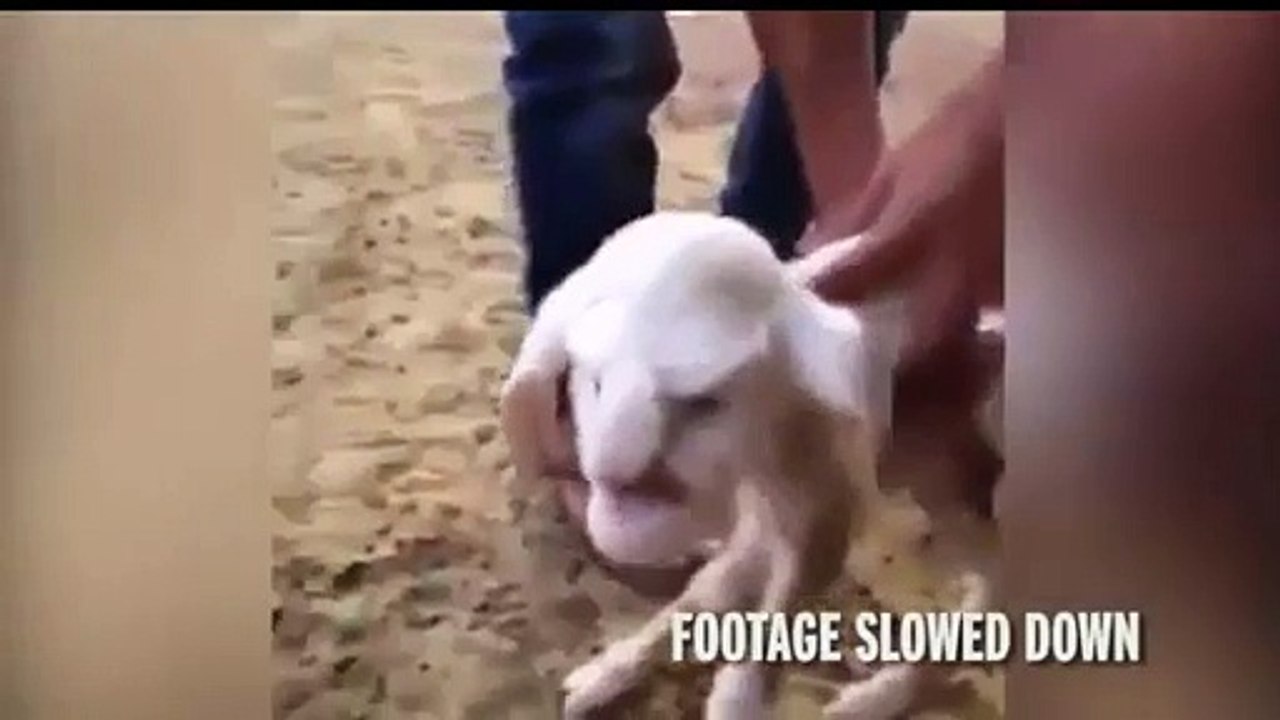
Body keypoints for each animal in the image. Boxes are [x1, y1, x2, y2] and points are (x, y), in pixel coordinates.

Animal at [499, 211, 996, 719]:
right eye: (593, 383)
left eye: (705, 403)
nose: (614, 472)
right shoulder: (772, 510)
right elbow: (706, 592)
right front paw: (603, 675)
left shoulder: (822, 507)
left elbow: (770, 626)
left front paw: (734, 700)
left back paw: (870, 699)